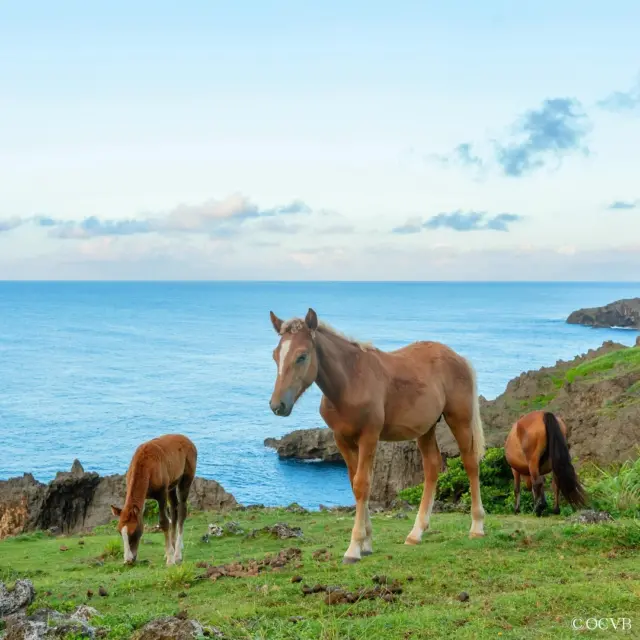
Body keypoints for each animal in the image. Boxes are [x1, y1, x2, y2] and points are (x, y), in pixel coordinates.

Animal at [110, 436, 196, 564]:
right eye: (120, 532)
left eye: (133, 532)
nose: (128, 560)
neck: (147, 467)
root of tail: (188, 440)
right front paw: (168, 553)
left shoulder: (162, 493)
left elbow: (164, 522)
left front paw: (170, 560)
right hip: (171, 485)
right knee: (174, 509)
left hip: (185, 479)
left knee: (182, 510)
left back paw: (177, 554)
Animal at [266, 310, 484, 564]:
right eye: (275, 355)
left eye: (302, 356)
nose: (278, 405)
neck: (350, 382)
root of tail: (459, 358)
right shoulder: (342, 439)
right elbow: (355, 484)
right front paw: (367, 543)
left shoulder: (369, 436)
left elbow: (363, 484)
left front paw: (354, 548)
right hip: (426, 428)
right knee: (432, 467)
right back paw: (416, 533)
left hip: (459, 419)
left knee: (470, 462)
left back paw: (477, 527)